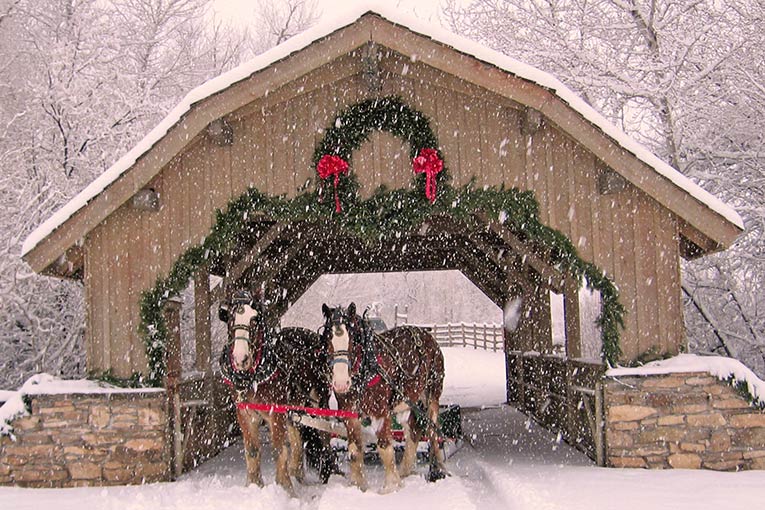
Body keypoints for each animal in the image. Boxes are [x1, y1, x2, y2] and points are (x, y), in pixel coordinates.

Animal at [216, 290, 332, 494]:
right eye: (230, 318)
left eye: (255, 319)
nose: (240, 358)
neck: (252, 376)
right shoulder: (244, 412)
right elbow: (252, 450)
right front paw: (254, 484)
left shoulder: (275, 411)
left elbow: (279, 448)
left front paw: (284, 487)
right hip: (294, 406)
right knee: (297, 436)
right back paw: (297, 473)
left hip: (319, 401)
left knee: (323, 433)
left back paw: (325, 472)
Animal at [318, 300, 448, 492]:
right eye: (327, 339)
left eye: (353, 339)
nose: (341, 383)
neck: (365, 368)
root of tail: (426, 335)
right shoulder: (350, 412)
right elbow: (354, 449)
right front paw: (358, 485)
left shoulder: (380, 411)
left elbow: (385, 447)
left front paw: (391, 487)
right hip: (409, 399)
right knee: (414, 429)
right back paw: (405, 471)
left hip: (431, 394)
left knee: (432, 430)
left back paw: (438, 470)